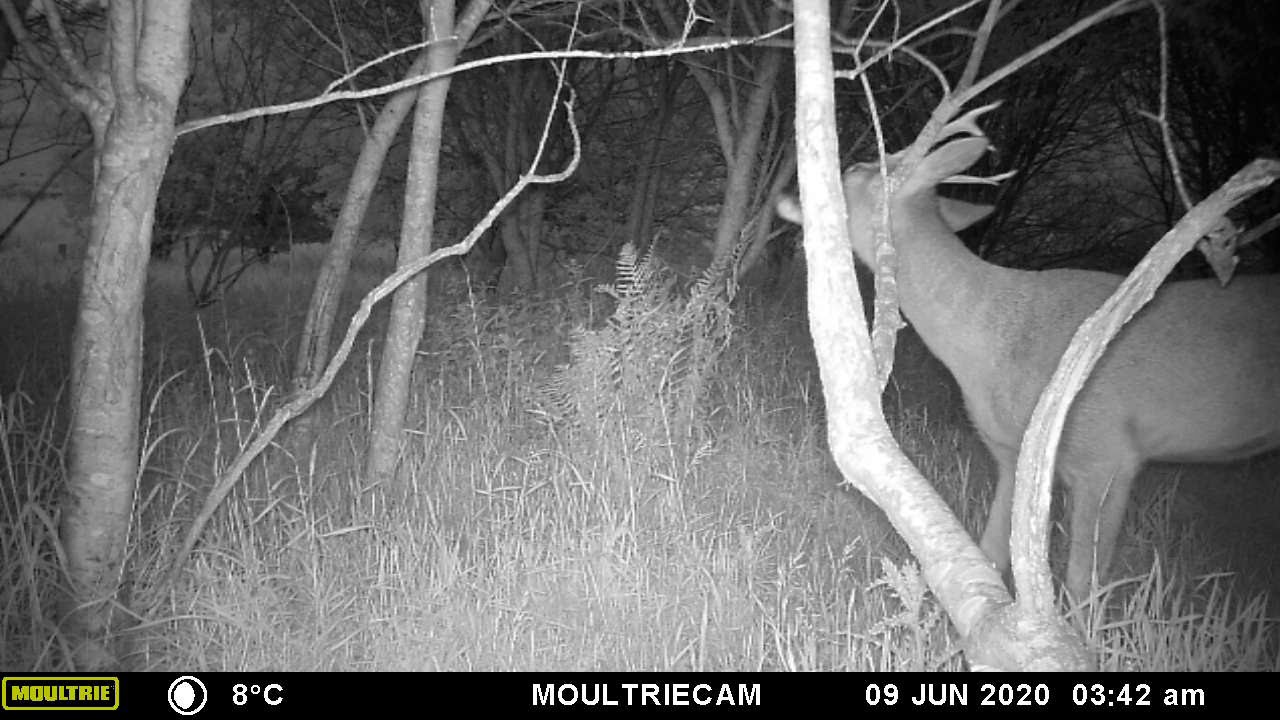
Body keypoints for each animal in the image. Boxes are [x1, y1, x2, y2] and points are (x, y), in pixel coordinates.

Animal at [778, 126, 1280, 602]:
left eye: (852, 171)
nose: (786, 192)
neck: (991, 343)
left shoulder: (1107, 451)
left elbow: (1081, 581)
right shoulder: (1010, 453)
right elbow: (990, 554)